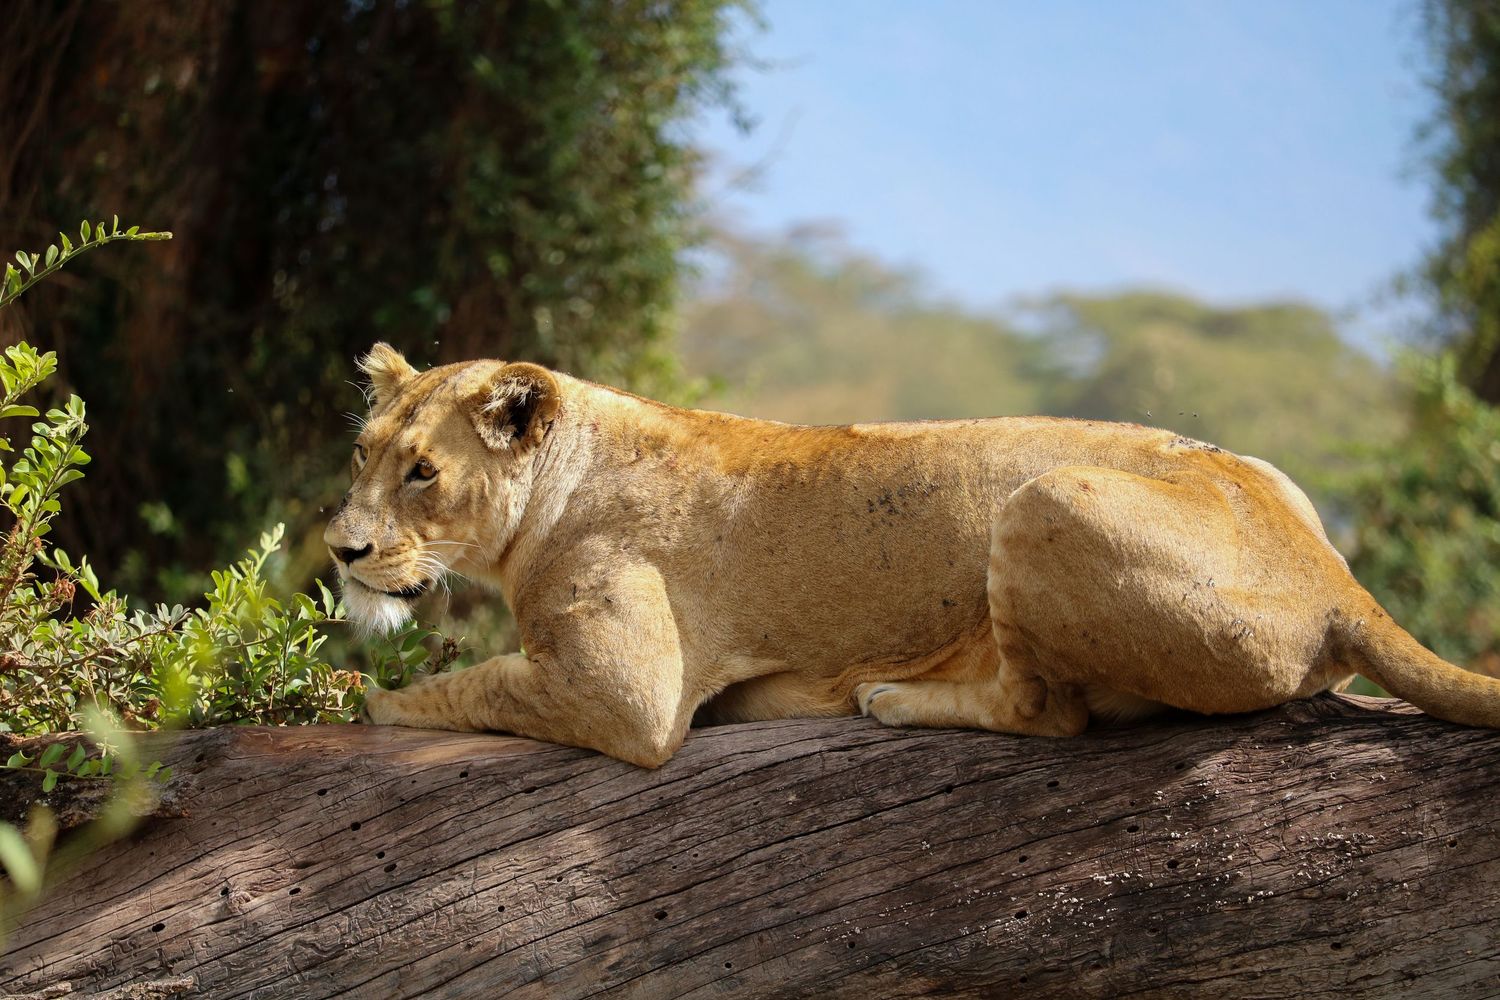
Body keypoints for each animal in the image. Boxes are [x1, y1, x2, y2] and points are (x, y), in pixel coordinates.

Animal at [325, 343, 1500, 767]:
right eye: (363, 451)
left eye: (422, 473)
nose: (342, 550)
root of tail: (1337, 582)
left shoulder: (629, 694)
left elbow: (473, 684)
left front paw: (355, 696)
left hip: (1043, 496)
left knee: (1049, 712)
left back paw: (892, 697)